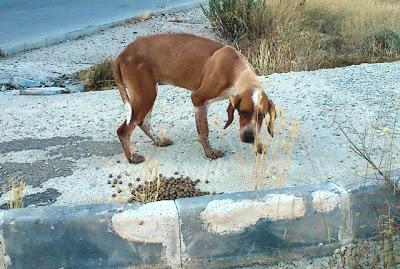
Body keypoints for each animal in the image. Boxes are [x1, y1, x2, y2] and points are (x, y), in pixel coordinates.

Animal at [112, 33, 276, 163]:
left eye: (262, 116)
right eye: (242, 112)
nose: (248, 138)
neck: (235, 69)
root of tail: (122, 54)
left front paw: (257, 144)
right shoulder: (198, 99)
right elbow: (204, 131)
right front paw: (210, 153)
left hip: (149, 93)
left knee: (143, 122)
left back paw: (158, 141)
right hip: (146, 96)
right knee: (123, 130)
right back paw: (132, 157)